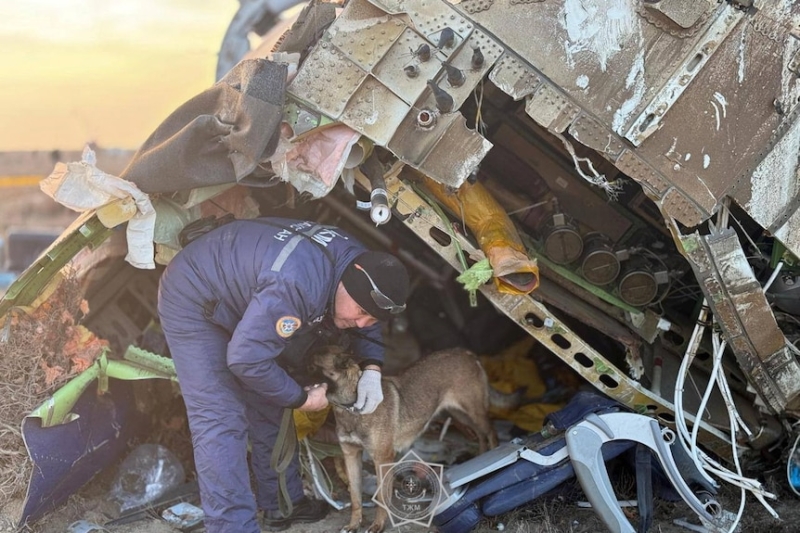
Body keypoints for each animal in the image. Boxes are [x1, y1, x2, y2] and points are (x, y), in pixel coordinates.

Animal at [310, 348, 494, 528]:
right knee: (480, 435)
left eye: (311, 366)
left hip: (474, 413)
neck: (352, 407)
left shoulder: (382, 458)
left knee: (491, 433)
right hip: (460, 414)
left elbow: (382, 497)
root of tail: (466, 353)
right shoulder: (351, 455)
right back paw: (482, 456)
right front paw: (354, 525)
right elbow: (355, 497)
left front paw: (378, 526)